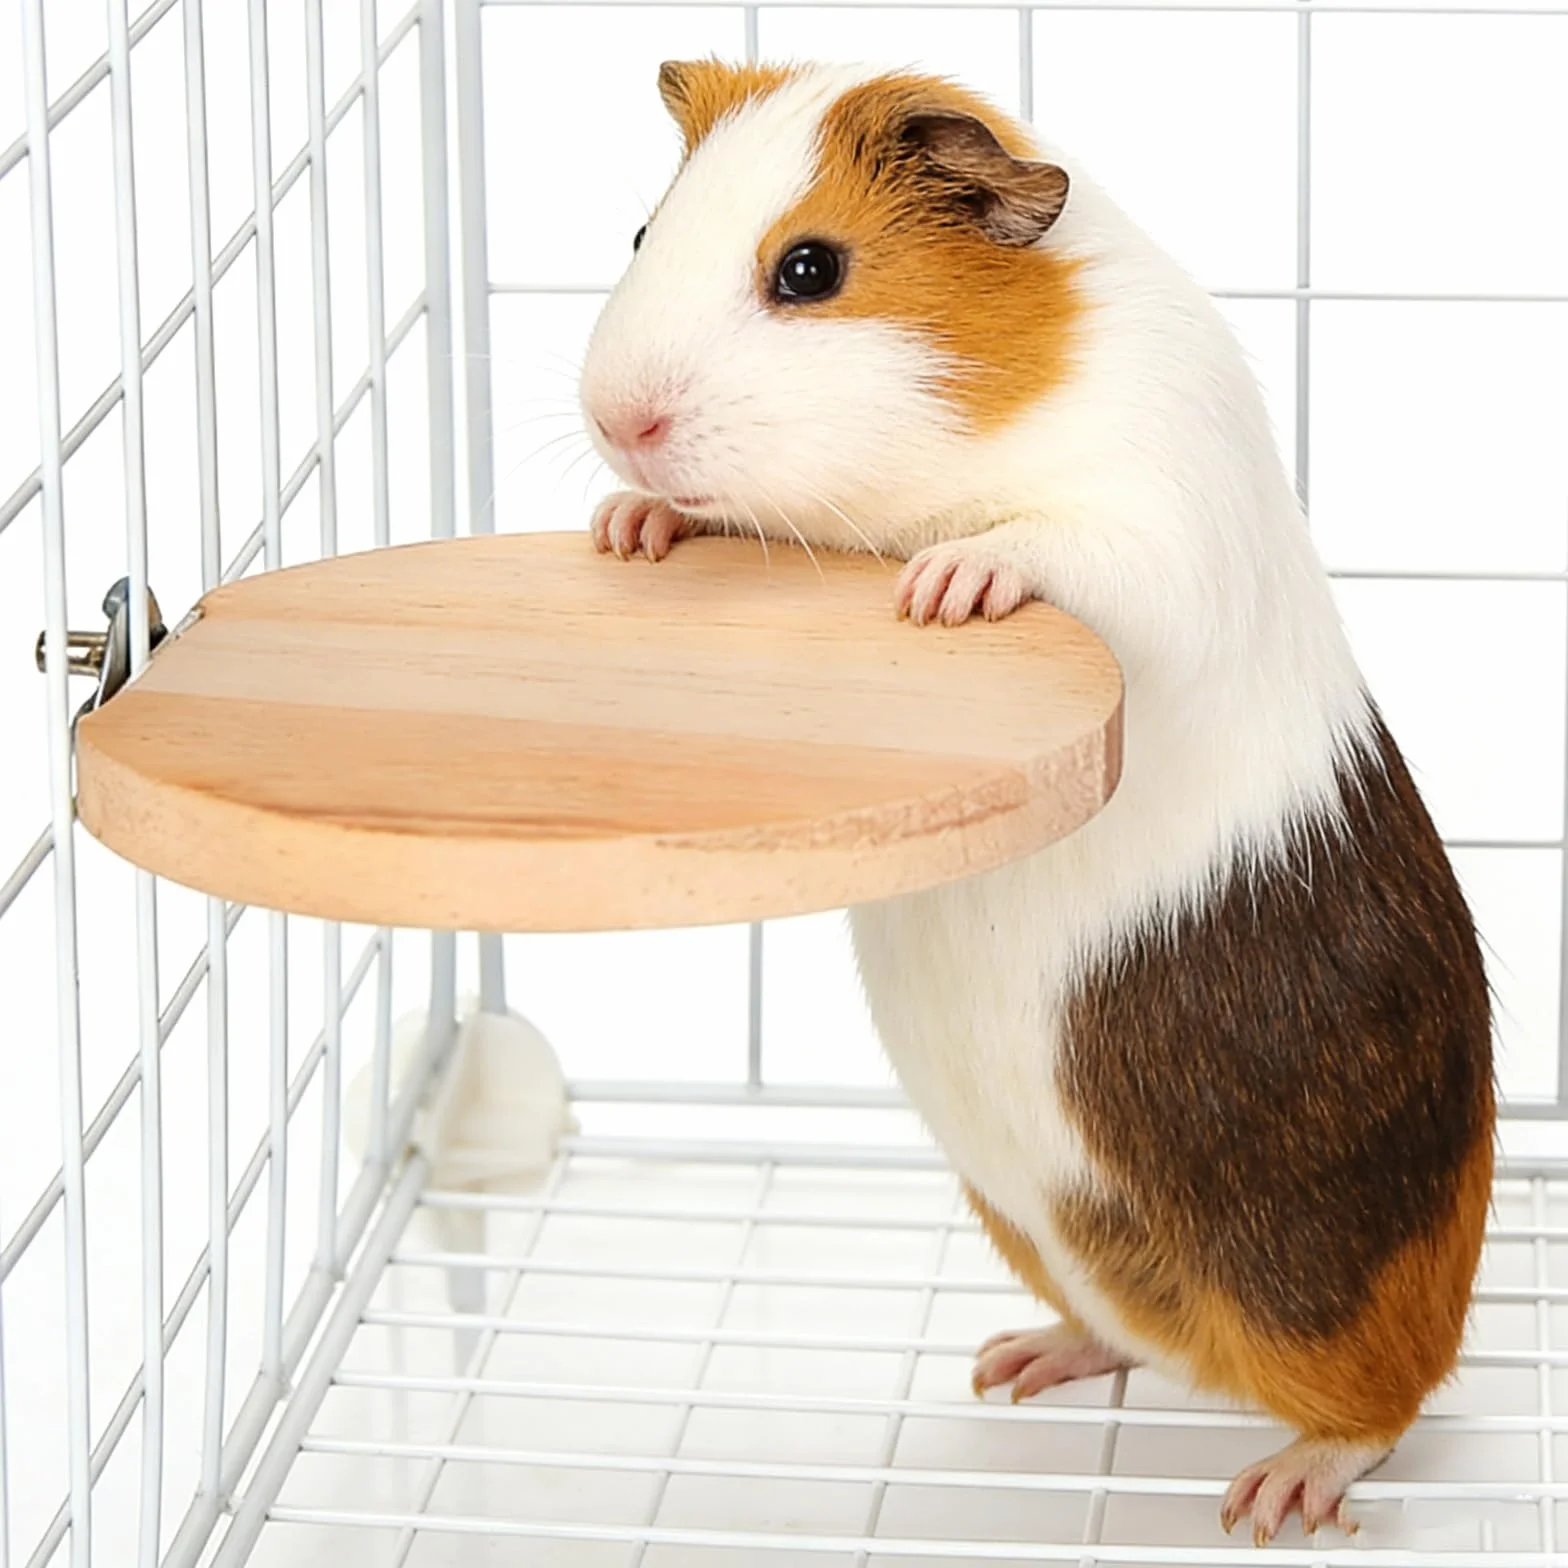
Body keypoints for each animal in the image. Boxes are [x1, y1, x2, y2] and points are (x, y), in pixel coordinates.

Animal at [578, 60, 1494, 1546]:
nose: (621, 425)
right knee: (1120, 1337)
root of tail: (1206, 1356)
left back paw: (1268, 1498)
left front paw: (945, 585)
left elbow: (1050, 546)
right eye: (645, 233)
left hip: (1322, 1287)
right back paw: (1015, 1367)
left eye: (809, 268)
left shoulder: (1152, 523)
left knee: (1379, 1412)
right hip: (1039, 1228)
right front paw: (632, 527)